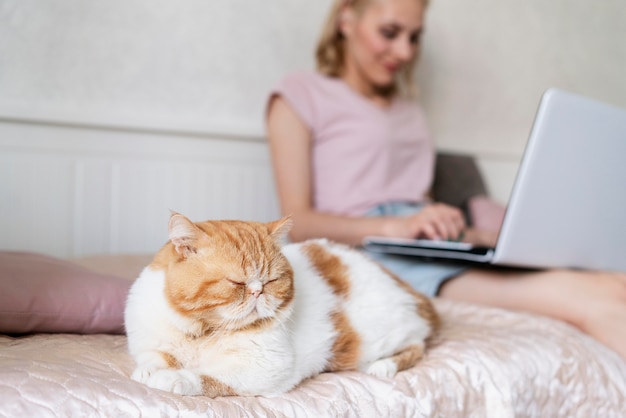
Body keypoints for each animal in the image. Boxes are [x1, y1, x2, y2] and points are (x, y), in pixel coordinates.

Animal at [124, 212, 436, 398]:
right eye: (236, 282)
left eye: (271, 280)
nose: (257, 291)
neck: (202, 330)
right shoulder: (149, 341)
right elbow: (155, 357)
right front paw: (150, 371)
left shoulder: (265, 367)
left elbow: (207, 377)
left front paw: (173, 378)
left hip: (383, 337)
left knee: (416, 346)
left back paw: (382, 366)